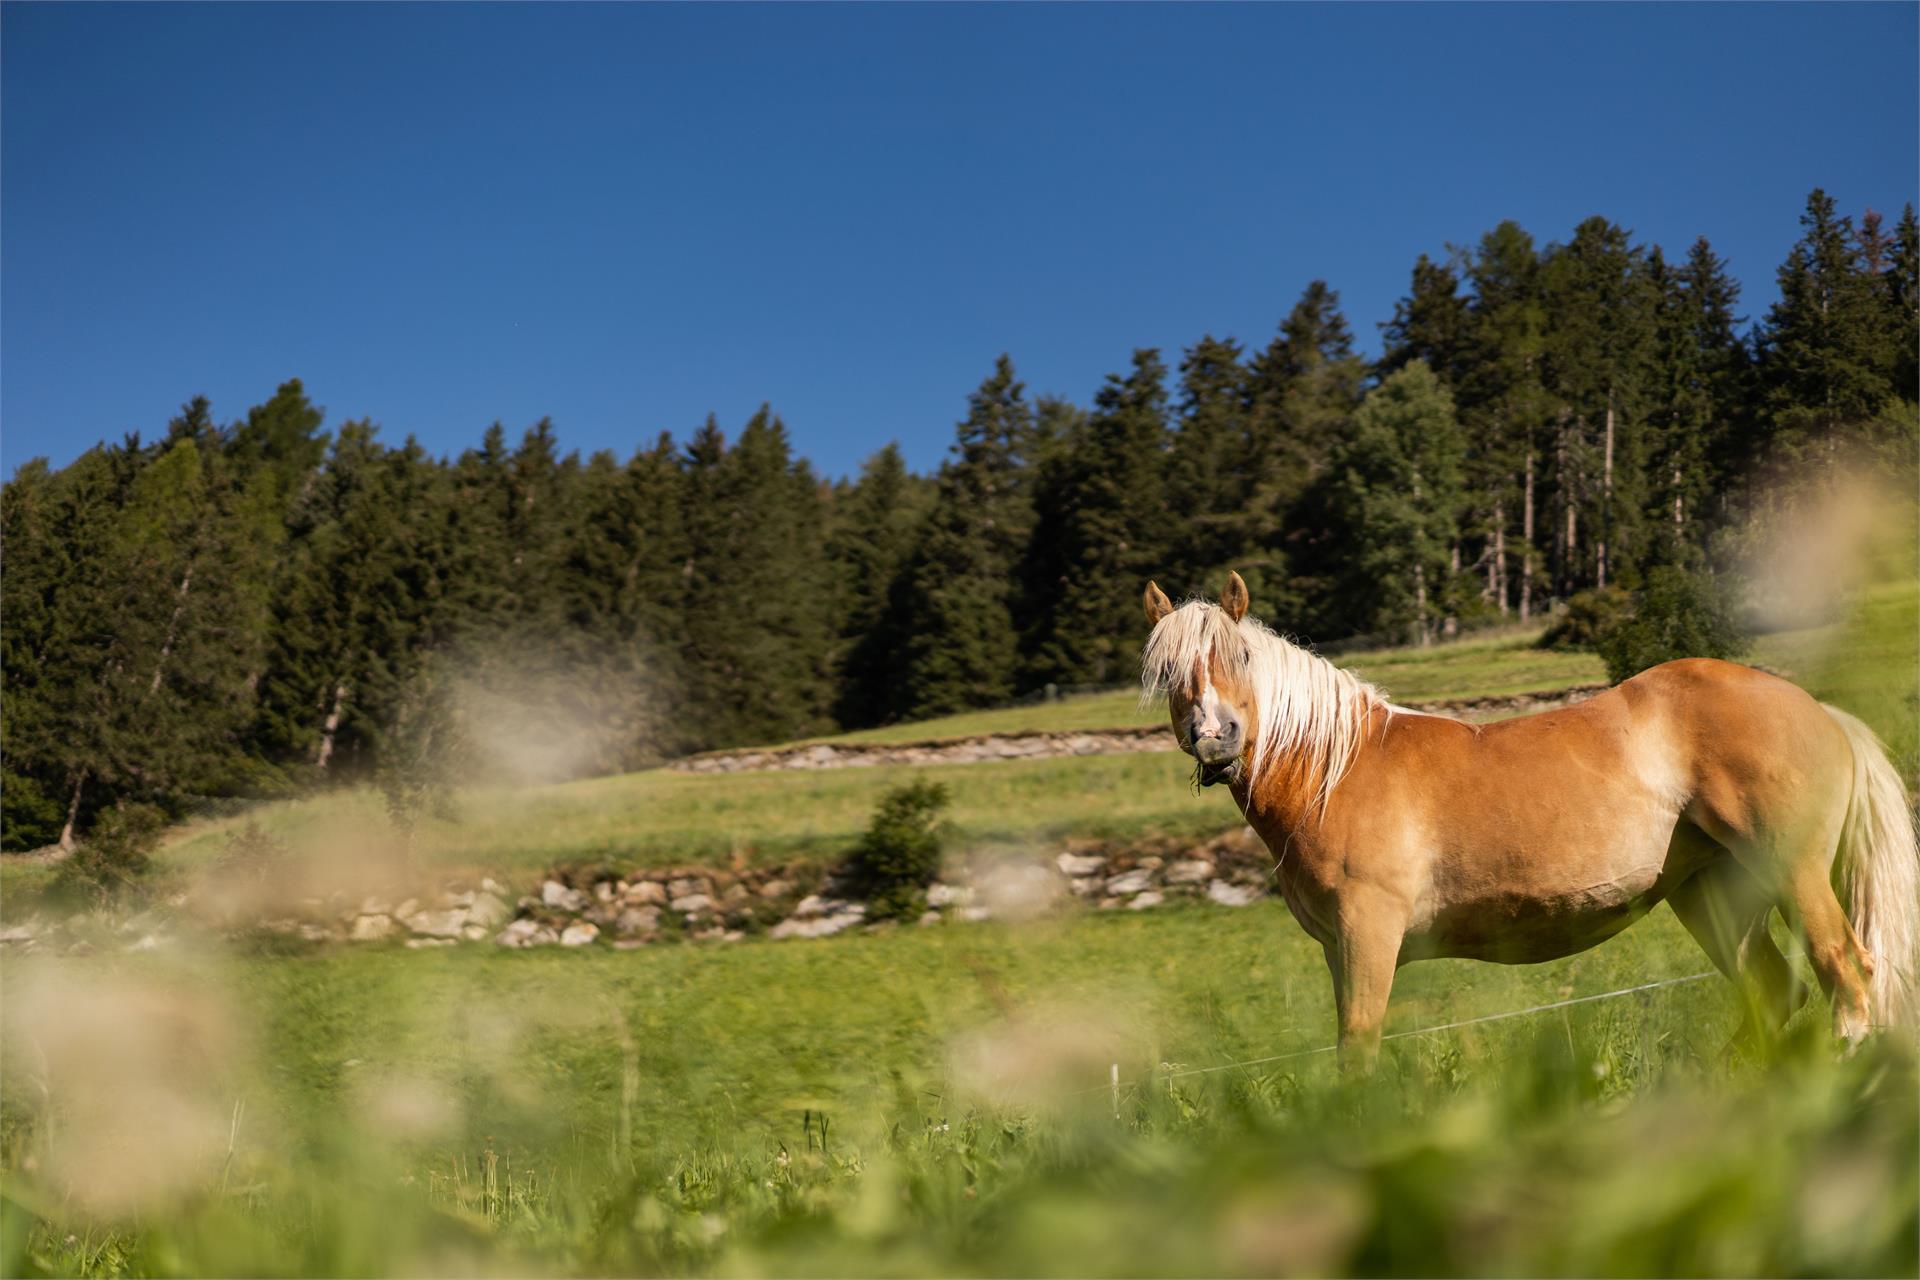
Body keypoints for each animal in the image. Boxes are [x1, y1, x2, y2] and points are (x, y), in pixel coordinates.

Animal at [1144, 571, 1912, 1074]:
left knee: (1846, 968)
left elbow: (1358, 1045)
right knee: (1776, 992)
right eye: (1169, 672)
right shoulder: (1339, 948)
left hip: (1792, 871)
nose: (1214, 735)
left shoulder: (1369, 935)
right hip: (1714, 895)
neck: (1337, 771)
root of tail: (1816, 708)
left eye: (1241, 656)